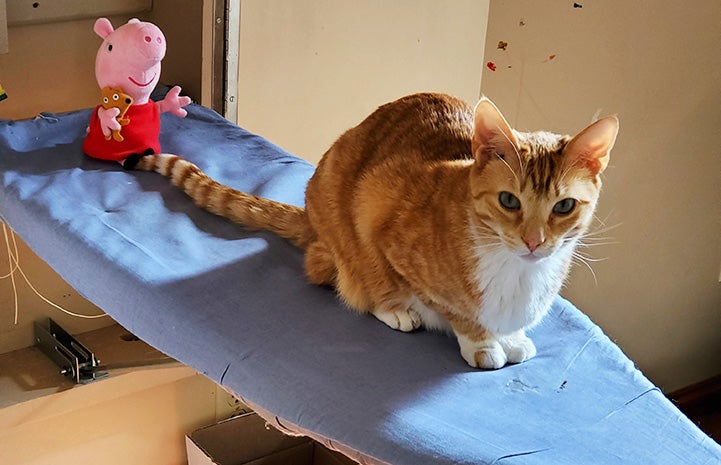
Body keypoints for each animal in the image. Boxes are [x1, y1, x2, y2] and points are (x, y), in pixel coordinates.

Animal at [136, 94, 620, 368]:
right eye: (509, 201)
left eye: (563, 207)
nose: (535, 242)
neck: (519, 275)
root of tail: (310, 215)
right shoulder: (379, 214)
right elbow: (447, 306)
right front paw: (482, 342)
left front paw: (512, 337)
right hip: (340, 207)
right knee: (341, 273)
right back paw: (392, 309)